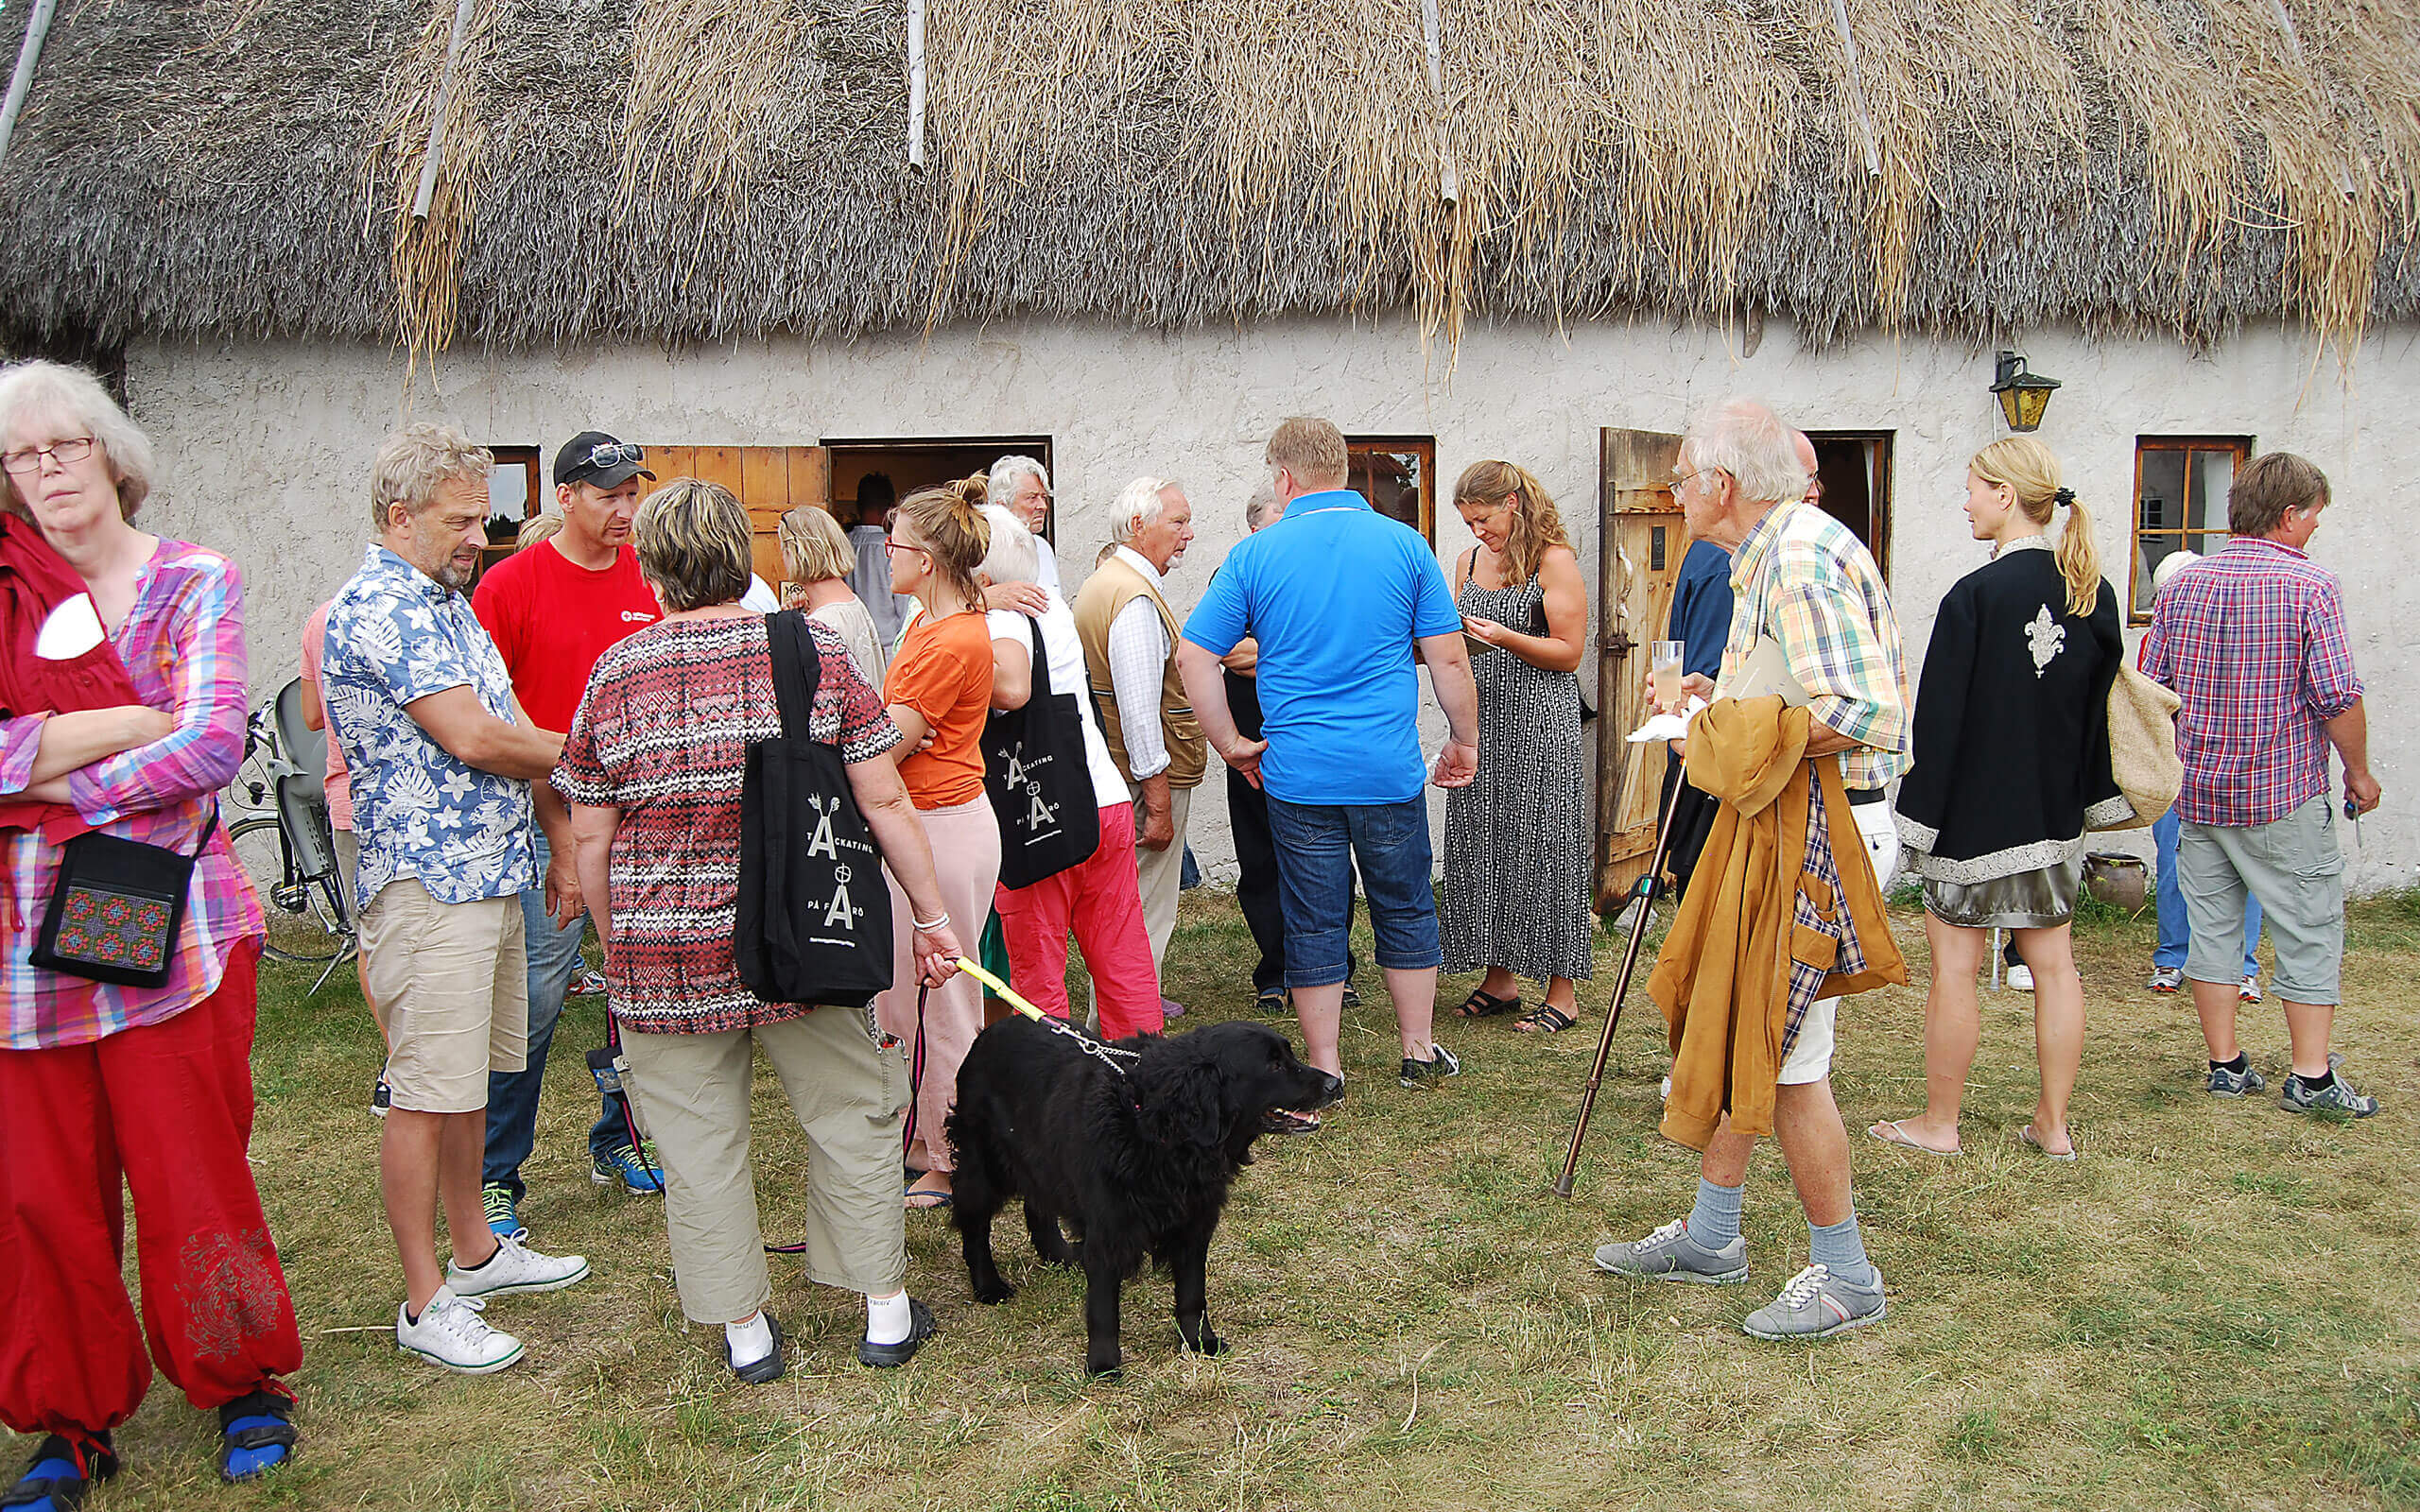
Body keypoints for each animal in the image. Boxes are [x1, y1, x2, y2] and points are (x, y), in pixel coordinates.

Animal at [943, 1005, 1345, 1374]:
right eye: (1273, 1066)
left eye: (1291, 1056)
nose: (1334, 1085)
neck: (1159, 1126)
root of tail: (988, 1032)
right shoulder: (1108, 1229)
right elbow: (1103, 1306)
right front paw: (1103, 1364)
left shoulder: (1194, 1222)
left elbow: (1193, 1293)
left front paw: (1200, 1341)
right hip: (984, 1166)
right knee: (974, 1224)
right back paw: (988, 1286)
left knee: (1037, 1202)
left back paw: (1057, 1253)